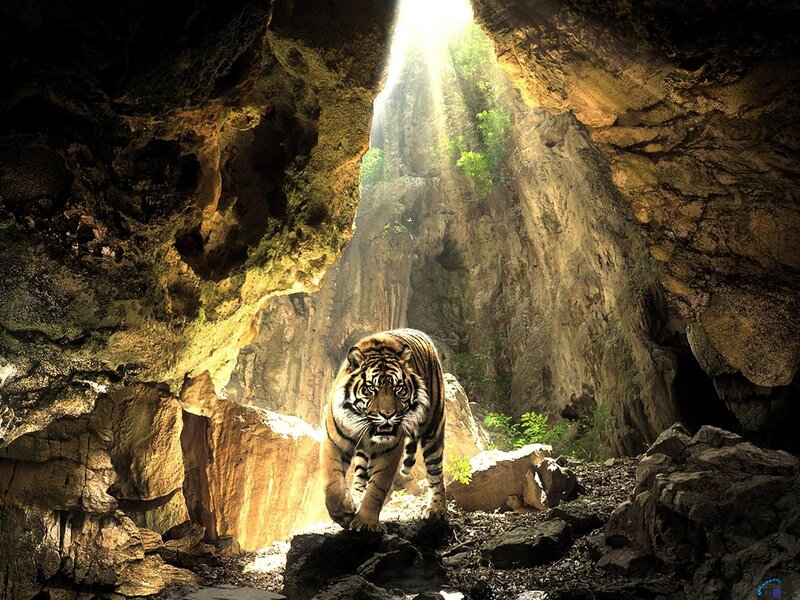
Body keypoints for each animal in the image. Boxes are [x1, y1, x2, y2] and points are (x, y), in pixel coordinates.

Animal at [321, 328, 447, 531]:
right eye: (370, 389)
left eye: (399, 389)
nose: (388, 414)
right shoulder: (333, 440)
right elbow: (332, 479)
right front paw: (343, 512)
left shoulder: (389, 449)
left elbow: (377, 487)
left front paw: (365, 522)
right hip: (363, 453)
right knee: (360, 475)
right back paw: (355, 497)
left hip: (433, 429)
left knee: (436, 472)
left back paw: (437, 509)